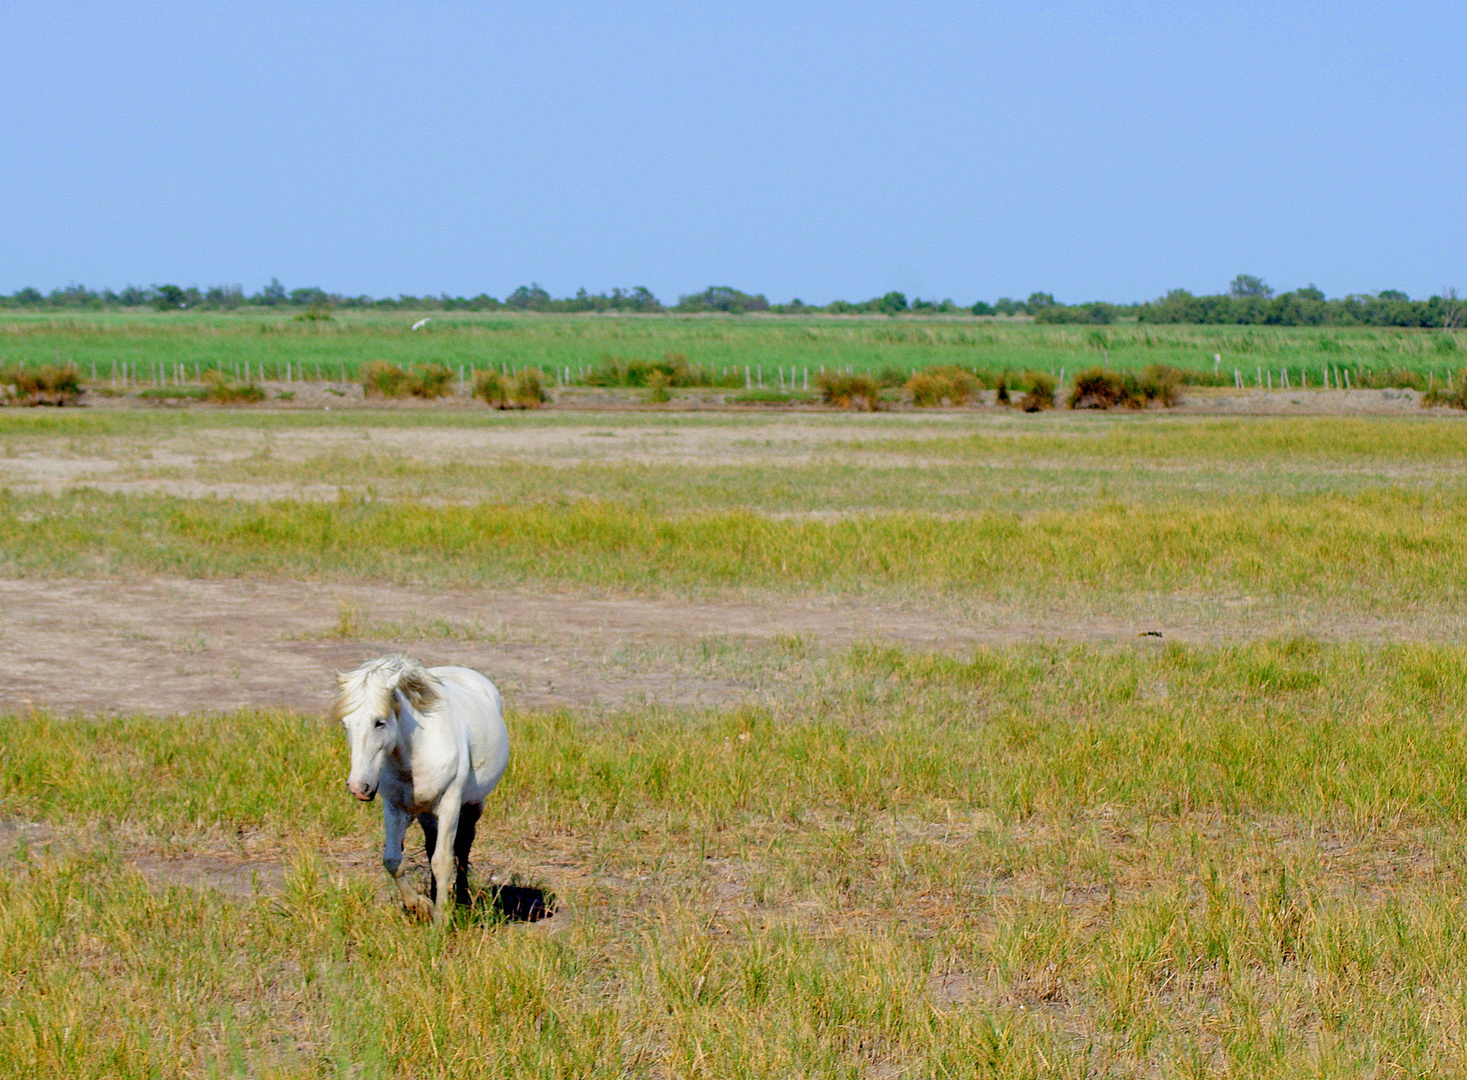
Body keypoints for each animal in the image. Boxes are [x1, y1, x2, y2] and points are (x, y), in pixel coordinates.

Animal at [333, 654, 510, 921]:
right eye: (346, 724)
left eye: (379, 723)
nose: (358, 787)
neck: (415, 755)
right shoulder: (395, 809)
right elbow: (393, 859)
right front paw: (420, 905)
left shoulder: (450, 804)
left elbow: (443, 861)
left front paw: (442, 918)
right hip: (427, 813)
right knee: (431, 846)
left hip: (473, 804)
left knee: (463, 845)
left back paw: (462, 898)